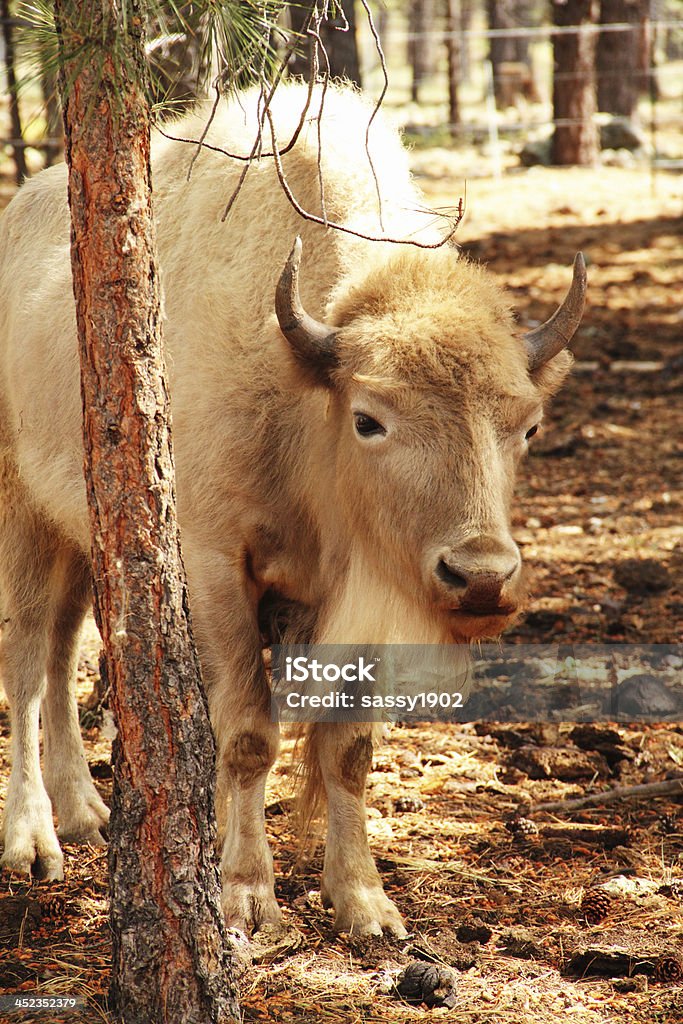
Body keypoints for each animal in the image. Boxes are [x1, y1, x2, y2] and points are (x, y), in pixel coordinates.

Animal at [0, 86, 589, 937]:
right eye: (369, 419)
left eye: (529, 425)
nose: (480, 578)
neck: (303, 393)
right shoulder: (216, 569)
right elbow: (249, 732)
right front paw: (246, 896)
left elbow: (347, 750)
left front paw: (366, 905)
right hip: (21, 509)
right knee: (24, 661)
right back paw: (34, 844)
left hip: (82, 530)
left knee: (59, 646)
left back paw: (85, 811)